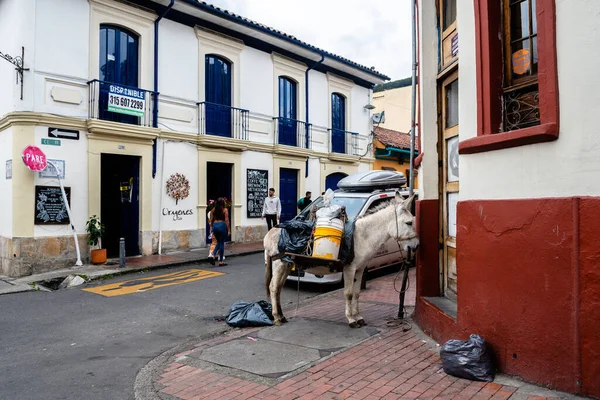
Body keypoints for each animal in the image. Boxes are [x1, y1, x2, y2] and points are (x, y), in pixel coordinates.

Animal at [264, 191, 420, 328]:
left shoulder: (360, 269)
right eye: (409, 223)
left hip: (286, 264)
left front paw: (358, 317)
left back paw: (282, 316)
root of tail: (270, 232)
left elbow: (357, 293)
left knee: (278, 288)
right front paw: (351, 319)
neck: (362, 236)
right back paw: (276, 318)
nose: (417, 246)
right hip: (278, 263)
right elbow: (348, 293)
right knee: (273, 287)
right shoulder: (349, 268)